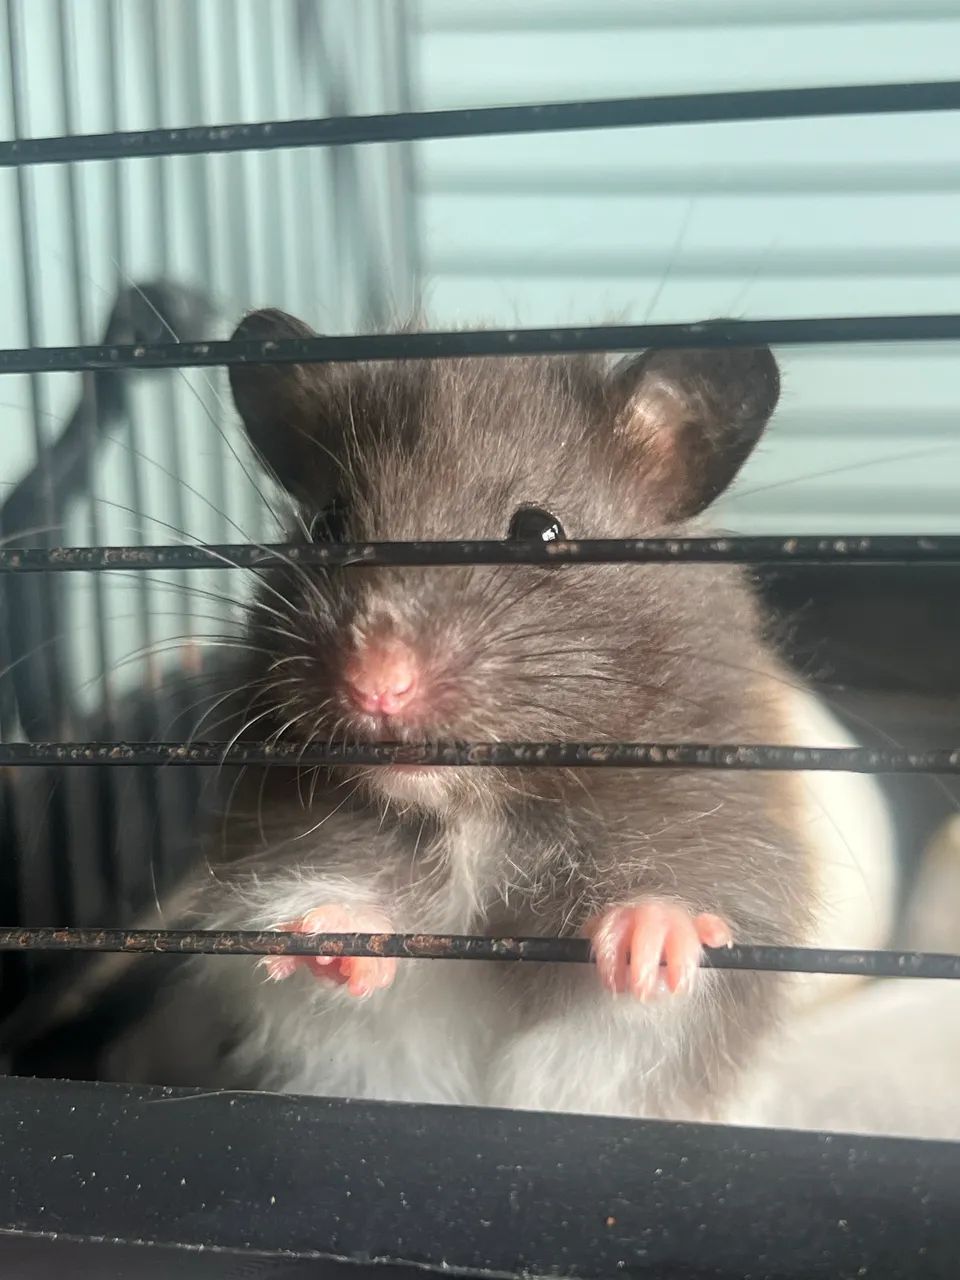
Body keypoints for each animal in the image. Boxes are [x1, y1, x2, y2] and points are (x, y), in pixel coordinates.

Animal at [99, 308, 897, 1122]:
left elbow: (659, 965)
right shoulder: (271, 878)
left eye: (539, 531)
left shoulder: (726, 851)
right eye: (328, 525)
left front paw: (648, 947)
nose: (375, 684)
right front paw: (331, 938)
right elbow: (313, 917)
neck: (479, 815)